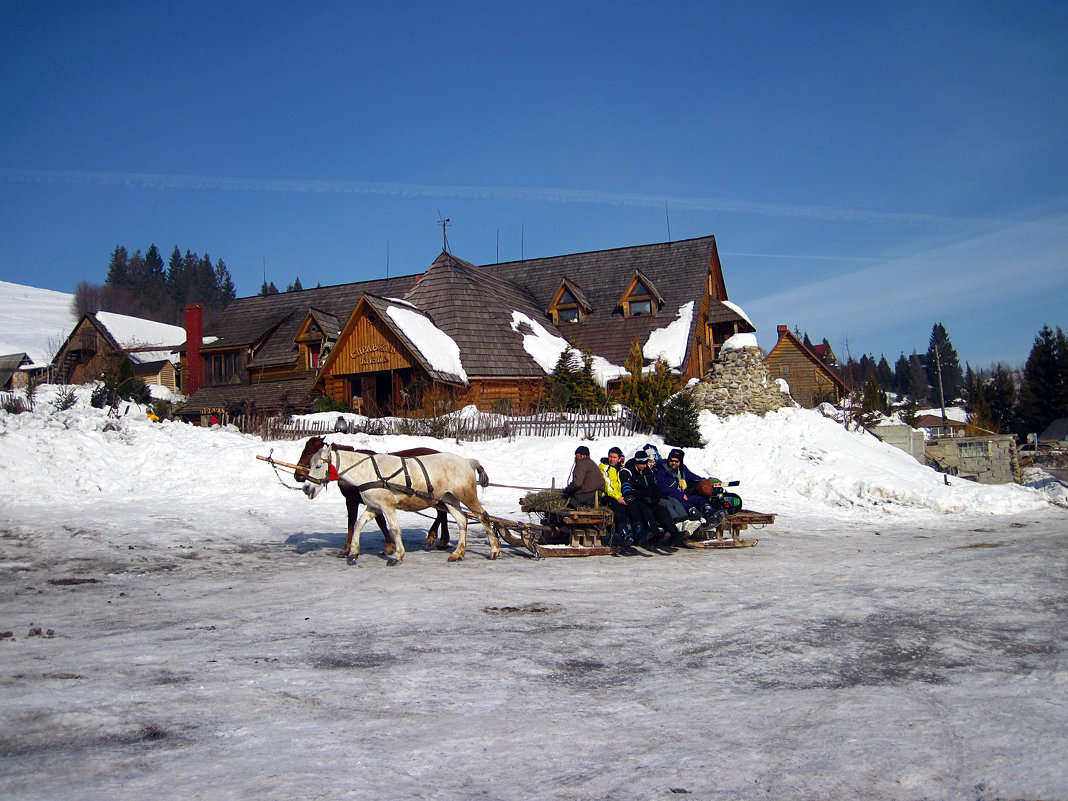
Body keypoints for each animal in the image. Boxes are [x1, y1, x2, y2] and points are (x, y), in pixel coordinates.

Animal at [301, 448, 499, 568]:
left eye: (318, 465)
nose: (306, 488)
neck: (368, 471)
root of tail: (467, 461)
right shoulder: (373, 507)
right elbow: (358, 525)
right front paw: (353, 553)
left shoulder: (387, 506)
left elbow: (394, 529)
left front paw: (397, 555)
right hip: (449, 499)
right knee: (462, 520)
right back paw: (458, 552)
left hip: (466, 495)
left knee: (483, 516)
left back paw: (494, 550)